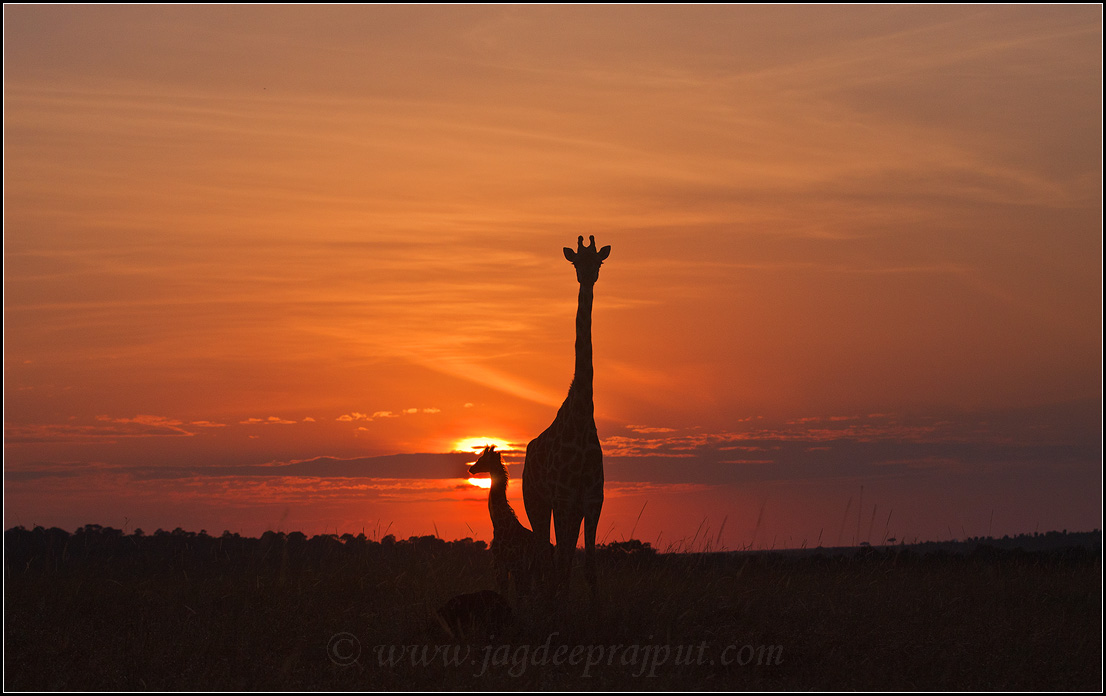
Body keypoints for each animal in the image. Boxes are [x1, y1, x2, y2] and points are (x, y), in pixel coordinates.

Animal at [468, 444, 537, 599]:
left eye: (481, 459)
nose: (471, 469)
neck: (499, 525)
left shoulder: (511, 564)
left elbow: (516, 593)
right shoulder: (501, 564)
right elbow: (505, 591)